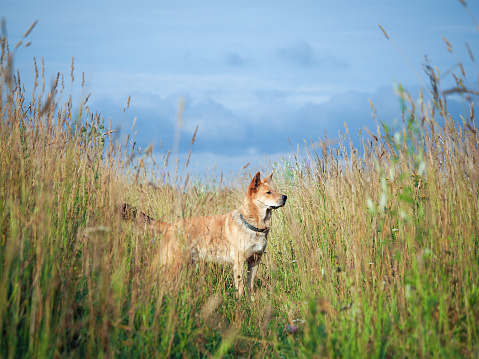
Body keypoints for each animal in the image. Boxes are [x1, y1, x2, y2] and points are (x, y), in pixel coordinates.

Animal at [122, 173, 286, 296]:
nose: (285, 197)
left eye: (275, 190)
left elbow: (249, 287)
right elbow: (240, 289)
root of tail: (170, 225)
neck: (253, 225)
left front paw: (250, 303)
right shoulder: (239, 262)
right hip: (171, 262)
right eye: (268, 192)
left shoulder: (255, 261)